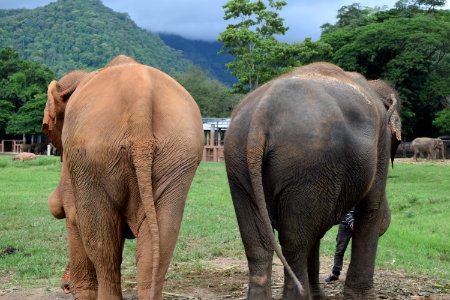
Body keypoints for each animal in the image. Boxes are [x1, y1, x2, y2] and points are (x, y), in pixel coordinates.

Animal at [42, 55, 204, 298]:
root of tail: (140, 99)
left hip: (94, 153)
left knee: (101, 239)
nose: (65, 285)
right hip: (178, 154)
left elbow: (72, 214)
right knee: (162, 236)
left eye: (48, 130)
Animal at [223, 62, 402, 298]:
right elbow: (371, 209)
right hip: (307, 164)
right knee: (295, 242)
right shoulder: (380, 144)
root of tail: (262, 112)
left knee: (258, 243)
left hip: (239, 160)